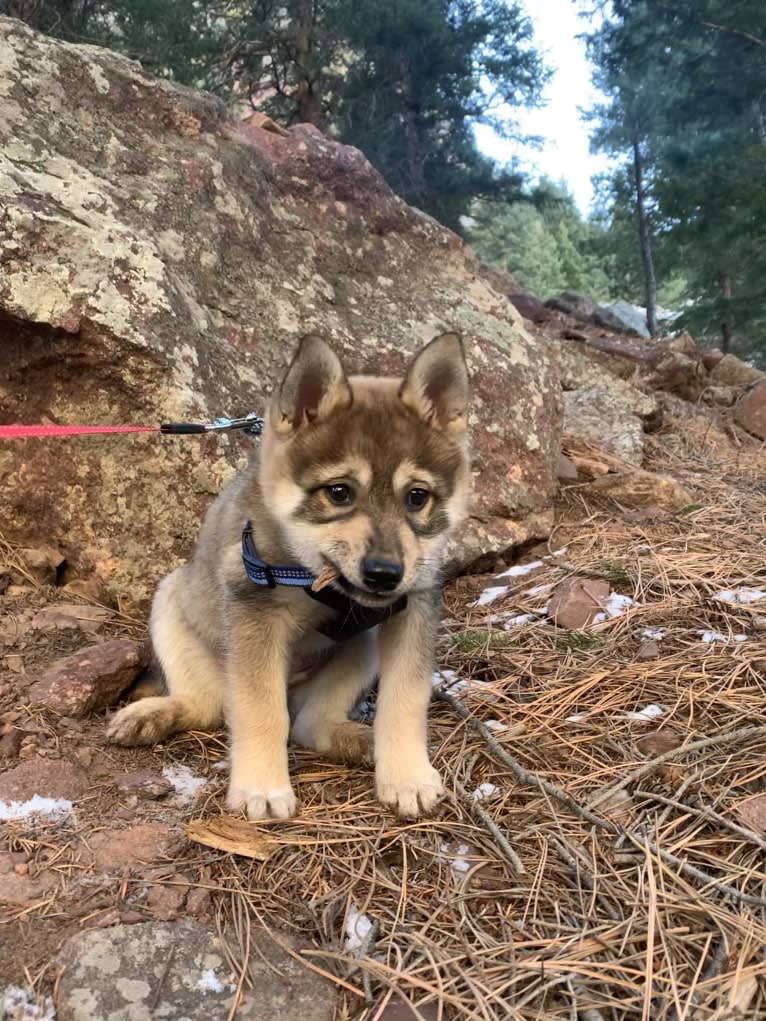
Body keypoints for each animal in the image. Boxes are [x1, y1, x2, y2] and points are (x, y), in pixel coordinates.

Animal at [106, 334, 467, 820]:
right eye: (339, 492)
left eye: (417, 497)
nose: (385, 574)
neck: (312, 576)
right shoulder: (255, 614)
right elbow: (262, 709)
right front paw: (262, 787)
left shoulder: (412, 612)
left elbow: (406, 699)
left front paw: (407, 776)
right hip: (170, 605)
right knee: (209, 706)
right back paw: (150, 715)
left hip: (361, 649)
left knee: (309, 723)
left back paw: (359, 741)